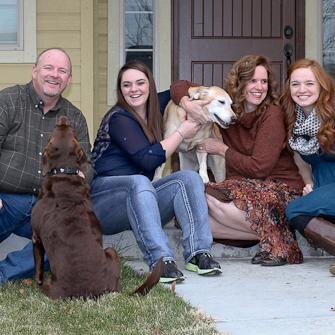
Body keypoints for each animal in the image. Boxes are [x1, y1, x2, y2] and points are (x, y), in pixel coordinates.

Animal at [31, 117, 163, 300]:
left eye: (61, 128)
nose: (63, 118)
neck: (64, 173)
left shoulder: (35, 237)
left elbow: (37, 266)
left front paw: (36, 280)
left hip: (109, 252)